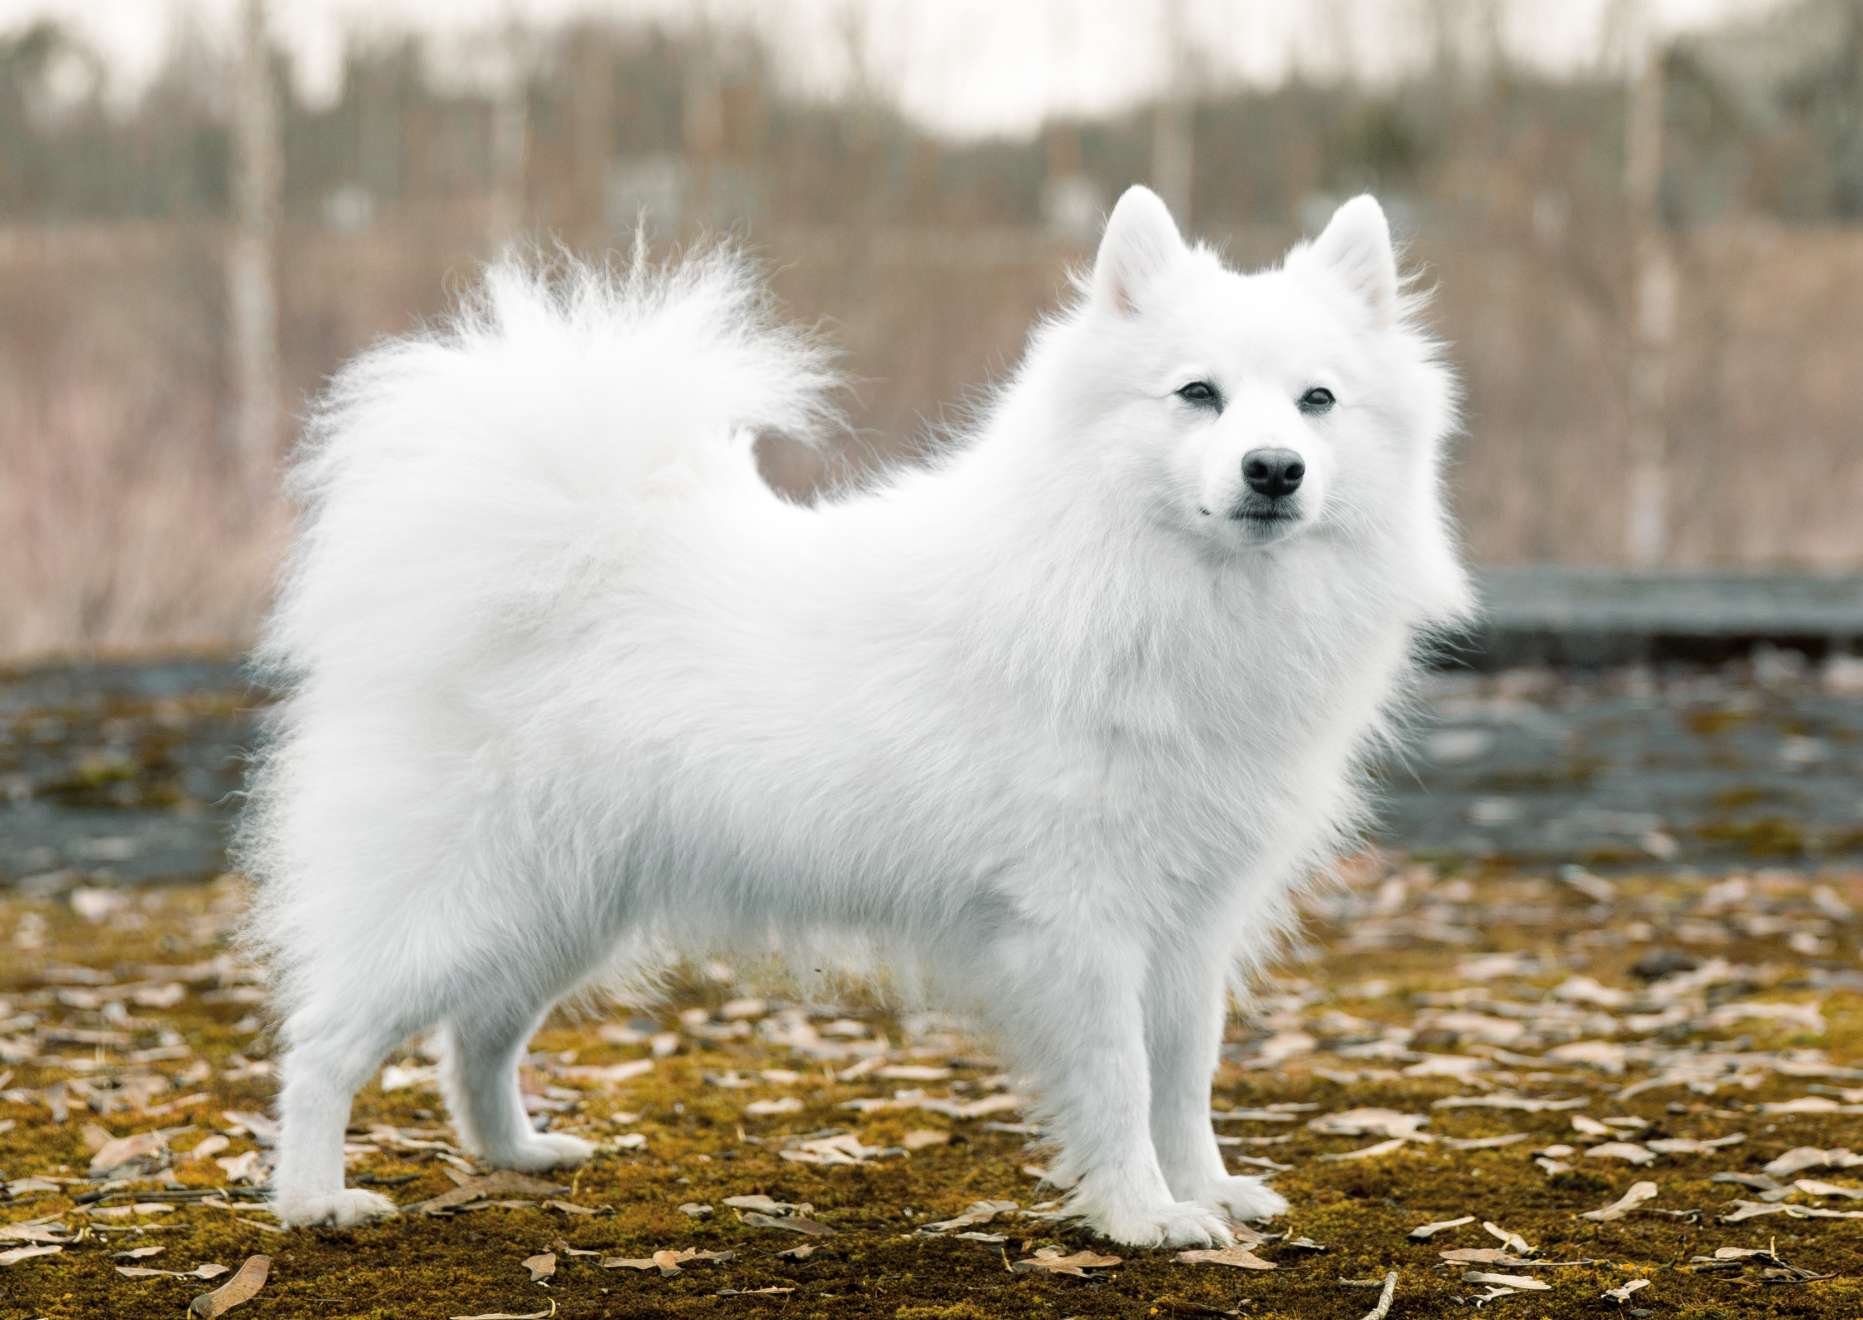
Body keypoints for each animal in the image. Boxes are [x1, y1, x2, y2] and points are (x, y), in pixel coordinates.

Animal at [244, 188, 1468, 1243]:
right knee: (324, 1043)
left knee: (478, 1036)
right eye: (1197, 395)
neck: (1139, 580)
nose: (1275, 469)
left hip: (561, 905)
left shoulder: (1191, 923)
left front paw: (1206, 1190)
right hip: (463, 900)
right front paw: (1142, 1217)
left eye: (1316, 401)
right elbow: (1123, 1083)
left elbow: (1185, 1077)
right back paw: (313, 1199)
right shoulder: (1083, 923)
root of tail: (568, 545)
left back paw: (517, 1153)